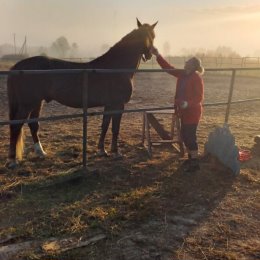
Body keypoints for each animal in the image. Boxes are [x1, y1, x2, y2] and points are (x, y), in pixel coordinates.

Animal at [5, 18, 156, 169]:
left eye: (153, 36)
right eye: (143, 36)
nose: (150, 54)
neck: (115, 68)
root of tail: (16, 67)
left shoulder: (109, 105)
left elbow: (105, 126)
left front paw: (102, 150)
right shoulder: (118, 105)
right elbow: (115, 128)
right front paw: (116, 152)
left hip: (37, 102)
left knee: (33, 124)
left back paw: (41, 152)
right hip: (27, 104)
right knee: (16, 125)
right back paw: (12, 160)